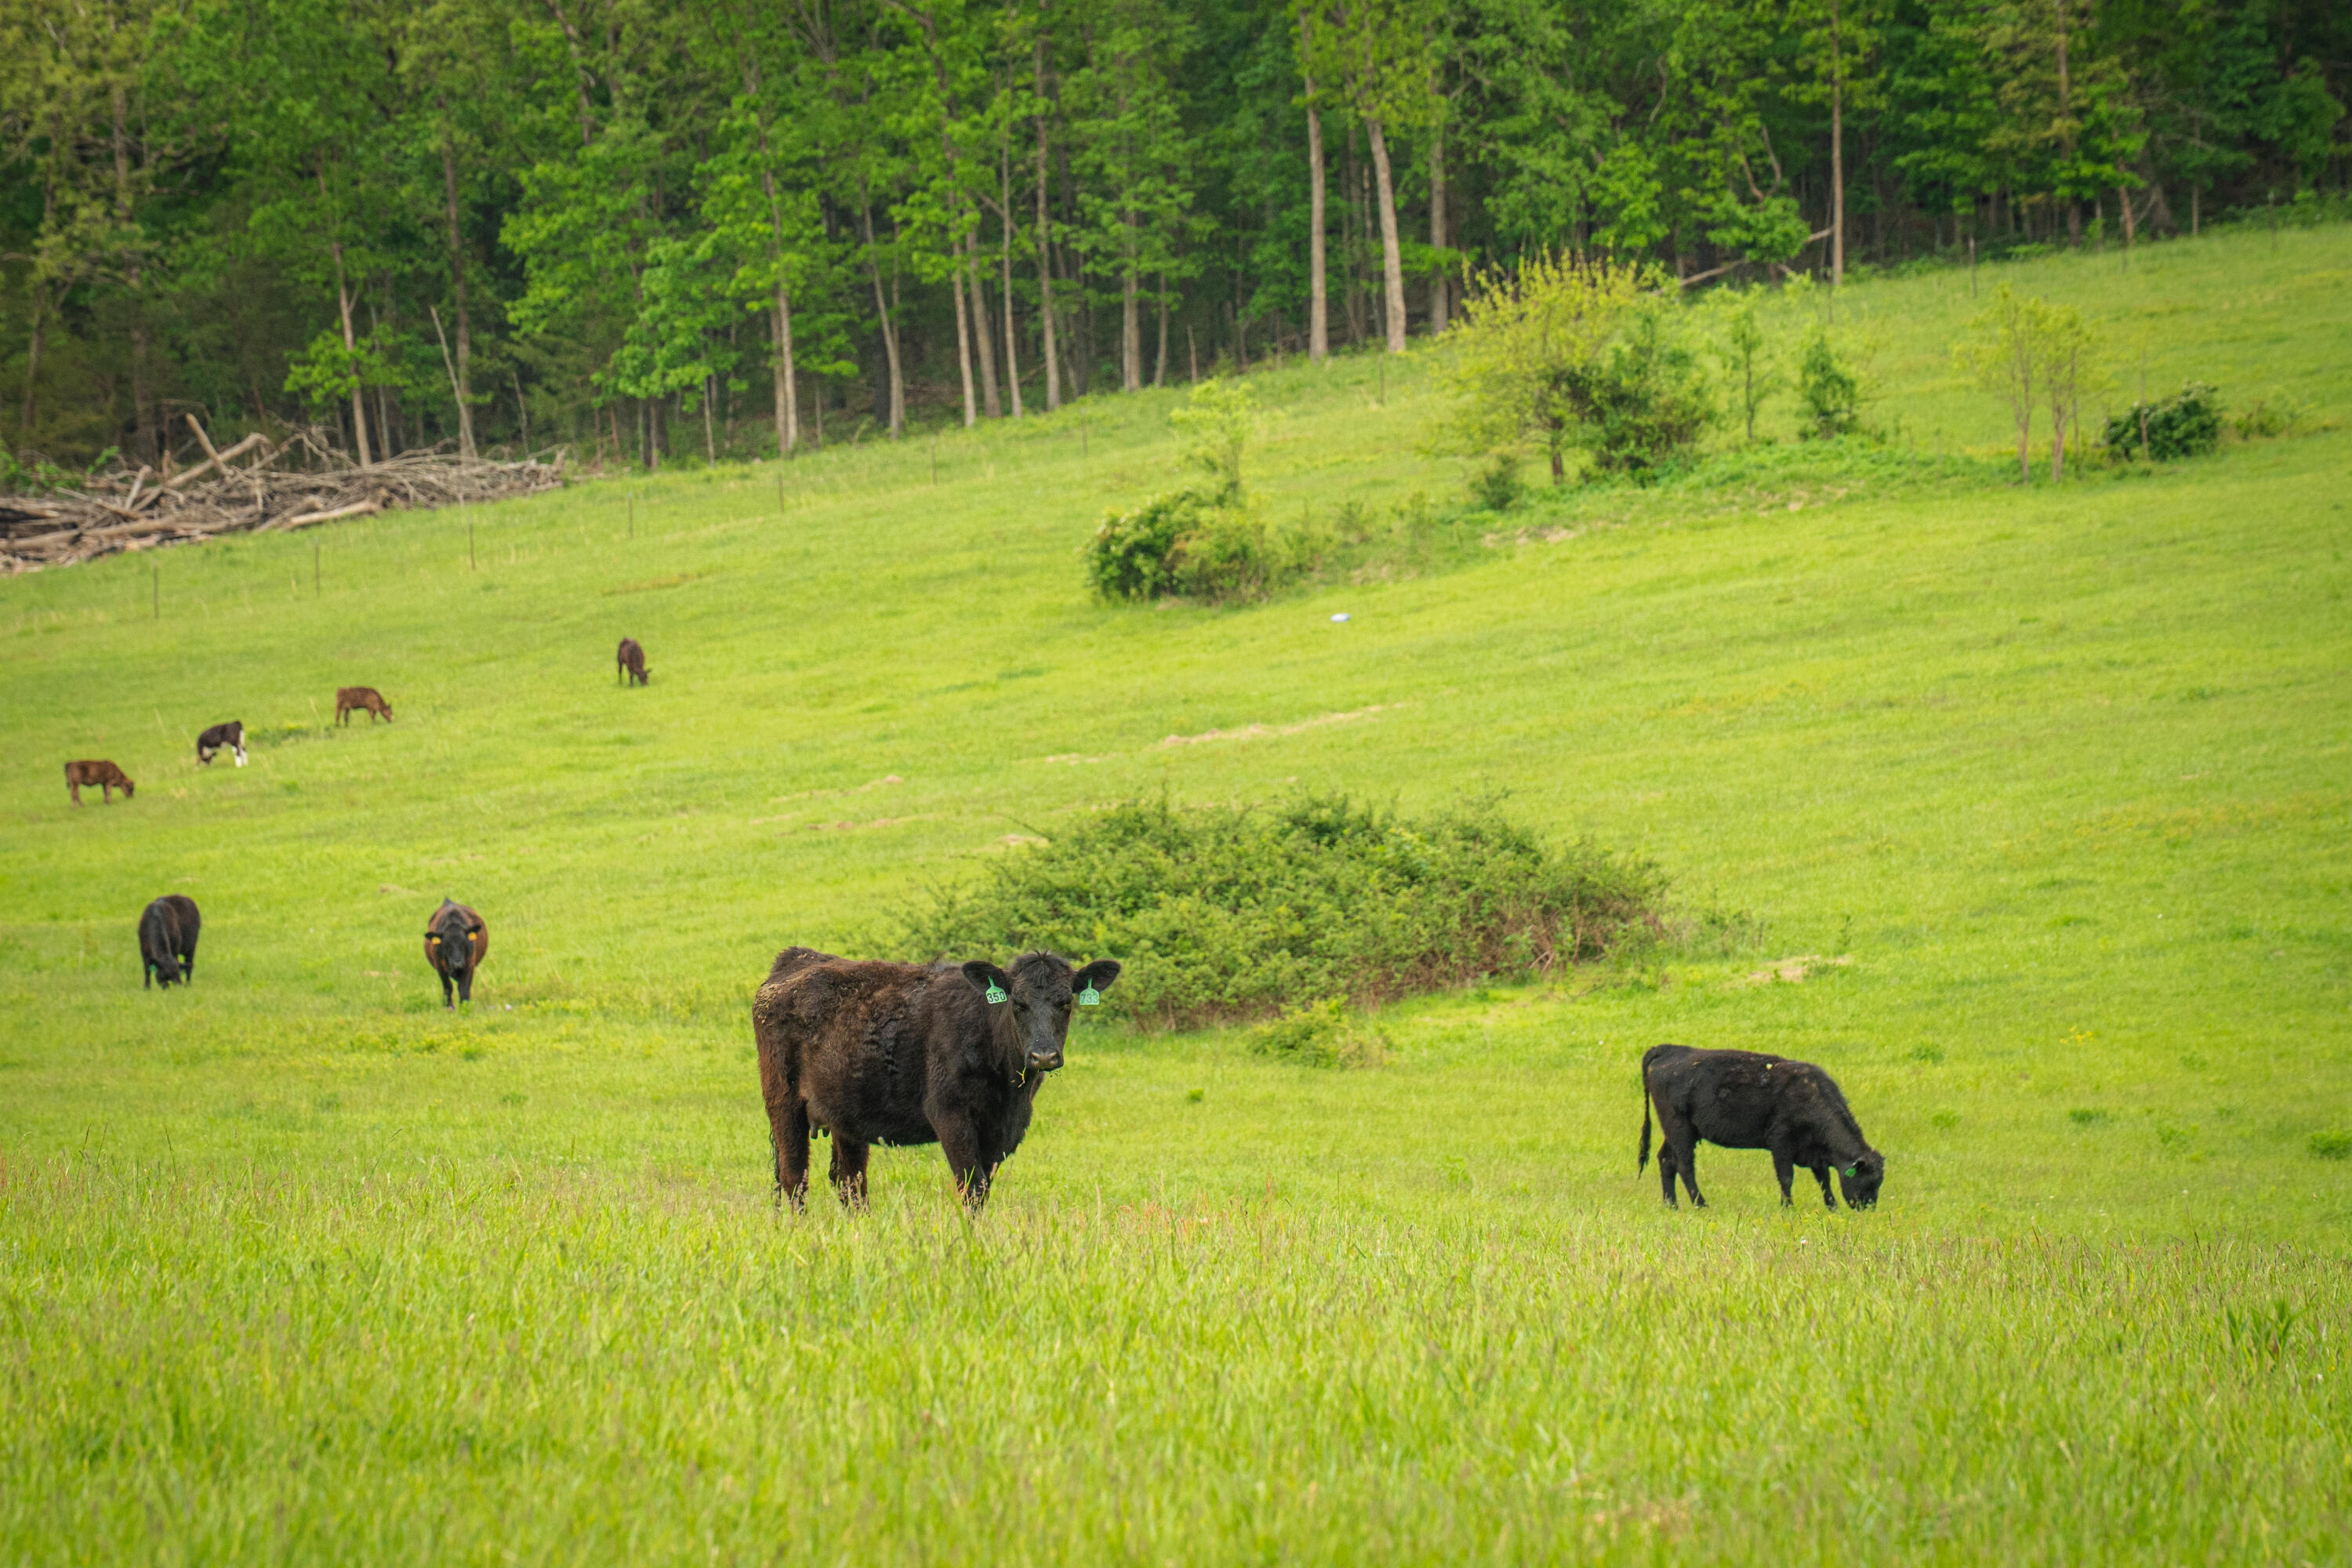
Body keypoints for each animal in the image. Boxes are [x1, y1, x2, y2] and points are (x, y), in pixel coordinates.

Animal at [423, 899, 488, 1009]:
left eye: (464, 942)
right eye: (446, 945)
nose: (457, 963)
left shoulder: (469, 965)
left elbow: (464, 988)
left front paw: (465, 1006)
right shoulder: (440, 968)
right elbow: (448, 987)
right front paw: (449, 1007)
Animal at [752, 947, 1121, 1213]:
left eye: (1065, 1002)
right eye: (1018, 1003)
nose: (1043, 1056)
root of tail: (798, 958)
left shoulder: (1001, 1130)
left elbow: (984, 1186)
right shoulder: (949, 1113)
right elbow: (971, 1187)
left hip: (845, 1112)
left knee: (850, 1181)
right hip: (783, 1101)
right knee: (794, 1176)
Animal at [1638, 1044, 1885, 1211]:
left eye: (1879, 1181)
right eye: (1868, 1181)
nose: (1868, 1207)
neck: (1812, 1096)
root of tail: (1670, 1050)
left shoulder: (1815, 1152)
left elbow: (1824, 1179)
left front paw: (1832, 1207)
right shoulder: (1781, 1142)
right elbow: (1786, 1177)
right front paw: (1788, 1207)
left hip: (1678, 1131)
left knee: (1666, 1160)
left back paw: (1671, 1205)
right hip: (1679, 1129)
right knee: (1685, 1165)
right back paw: (1701, 1204)